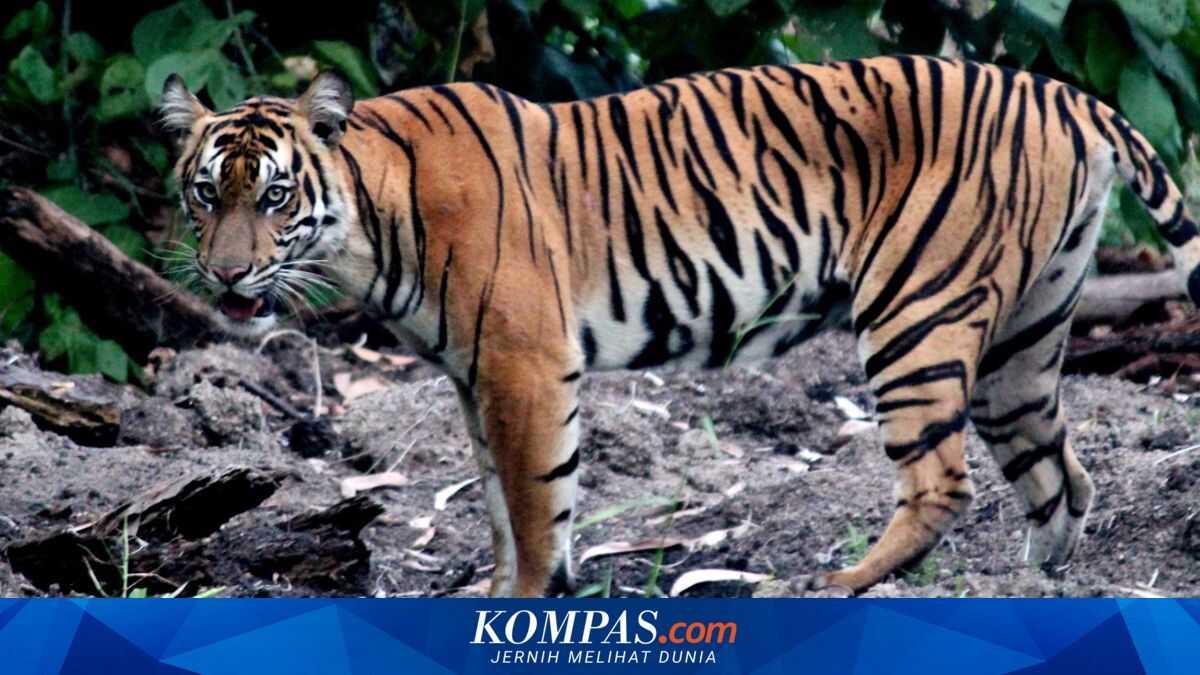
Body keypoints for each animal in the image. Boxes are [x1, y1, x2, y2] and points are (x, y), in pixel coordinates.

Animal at [161, 55, 1200, 597]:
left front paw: (529, 601)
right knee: (1061, 472)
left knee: (944, 480)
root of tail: (1057, 89)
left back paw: (831, 586)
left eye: (275, 195)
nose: (226, 273)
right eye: (207, 193)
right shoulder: (473, 377)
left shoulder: (525, 365)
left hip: (918, 309)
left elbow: (535, 509)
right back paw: (1033, 592)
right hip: (1025, 337)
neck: (373, 221)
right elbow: (497, 505)